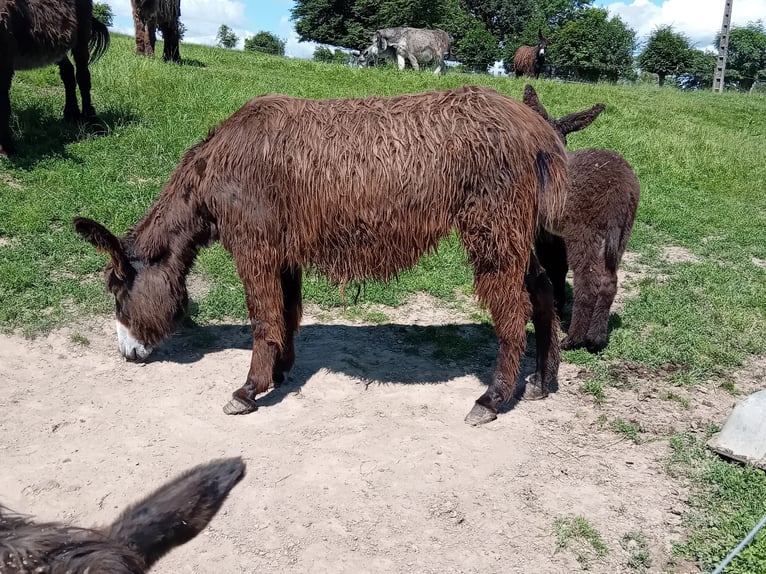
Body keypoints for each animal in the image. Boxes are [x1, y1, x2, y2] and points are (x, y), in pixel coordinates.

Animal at [0, 0, 109, 156]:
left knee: (83, 76)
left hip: (82, 33)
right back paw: (71, 114)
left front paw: (8, 148)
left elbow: (3, 107)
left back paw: (91, 120)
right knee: (68, 72)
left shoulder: (5, 60)